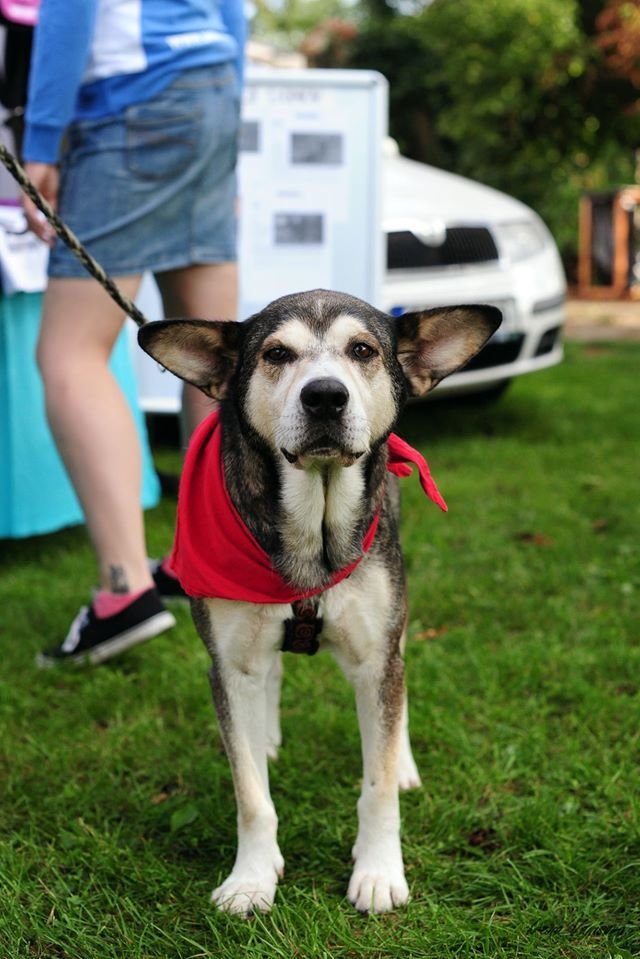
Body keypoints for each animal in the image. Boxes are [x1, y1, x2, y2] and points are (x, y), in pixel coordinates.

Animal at [139, 290, 500, 916]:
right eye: (276, 354)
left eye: (364, 351)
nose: (326, 395)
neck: (315, 528)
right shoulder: (229, 666)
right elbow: (250, 794)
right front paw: (251, 879)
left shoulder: (375, 655)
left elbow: (376, 784)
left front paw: (378, 872)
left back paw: (404, 762)